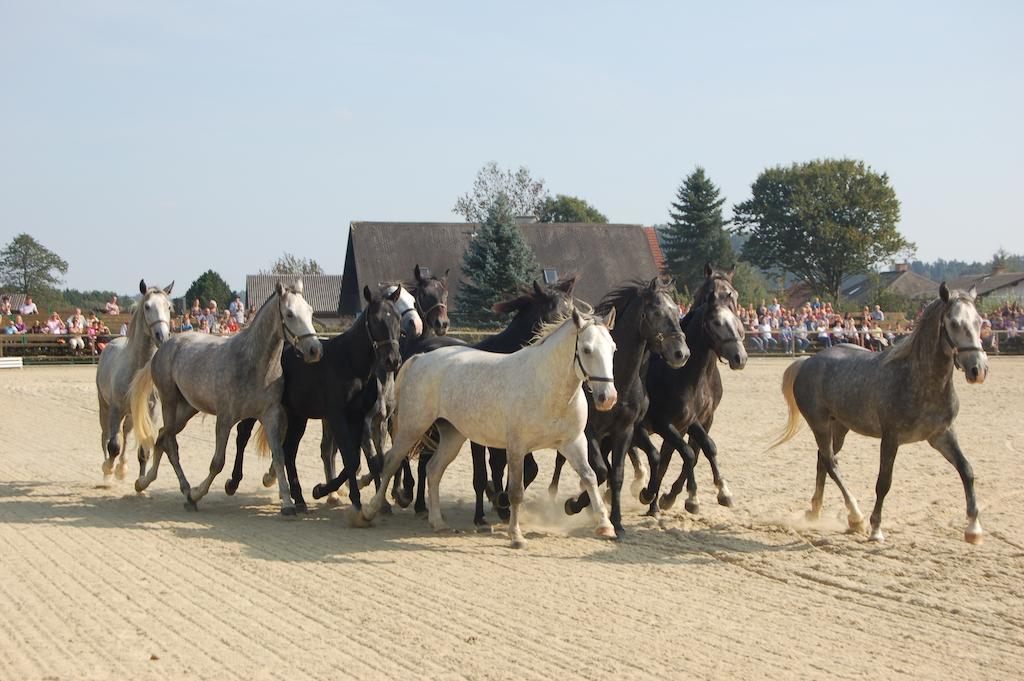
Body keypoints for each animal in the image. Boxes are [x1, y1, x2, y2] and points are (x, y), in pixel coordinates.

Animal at [95, 278, 174, 481]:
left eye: (168, 306)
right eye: (147, 306)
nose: (162, 336)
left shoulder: (151, 412)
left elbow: (144, 449)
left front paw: (138, 481)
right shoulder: (115, 409)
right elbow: (113, 445)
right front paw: (108, 470)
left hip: (131, 414)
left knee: (126, 432)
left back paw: (122, 467)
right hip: (104, 406)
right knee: (105, 435)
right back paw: (107, 471)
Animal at [130, 278, 319, 512]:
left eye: (310, 311)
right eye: (290, 313)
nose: (315, 349)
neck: (253, 363)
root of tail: (166, 344)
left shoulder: (271, 415)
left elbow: (279, 455)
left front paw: (287, 502)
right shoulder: (225, 419)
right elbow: (217, 462)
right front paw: (197, 494)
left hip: (187, 408)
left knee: (163, 436)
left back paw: (145, 482)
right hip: (169, 402)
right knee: (170, 442)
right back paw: (183, 490)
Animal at [360, 307, 614, 548]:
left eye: (613, 349)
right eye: (587, 349)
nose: (607, 398)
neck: (548, 387)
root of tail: (420, 358)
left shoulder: (573, 442)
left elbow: (590, 476)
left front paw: (605, 526)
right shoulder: (517, 448)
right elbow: (515, 492)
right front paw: (516, 536)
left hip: (453, 435)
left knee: (433, 469)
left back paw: (438, 522)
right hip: (412, 427)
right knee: (391, 462)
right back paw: (371, 511)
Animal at [557, 278, 692, 532]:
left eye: (676, 311)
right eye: (657, 312)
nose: (682, 353)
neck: (618, 379)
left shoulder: (625, 430)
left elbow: (616, 474)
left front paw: (617, 520)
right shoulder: (590, 431)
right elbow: (600, 471)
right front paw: (573, 504)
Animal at [770, 280, 987, 540]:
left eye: (979, 321)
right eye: (954, 323)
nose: (978, 370)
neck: (919, 381)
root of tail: (807, 362)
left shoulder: (941, 435)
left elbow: (967, 470)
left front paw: (973, 528)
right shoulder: (891, 438)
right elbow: (884, 482)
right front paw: (875, 528)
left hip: (839, 427)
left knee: (823, 460)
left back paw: (815, 512)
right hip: (819, 424)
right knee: (831, 463)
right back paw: (856, 516)